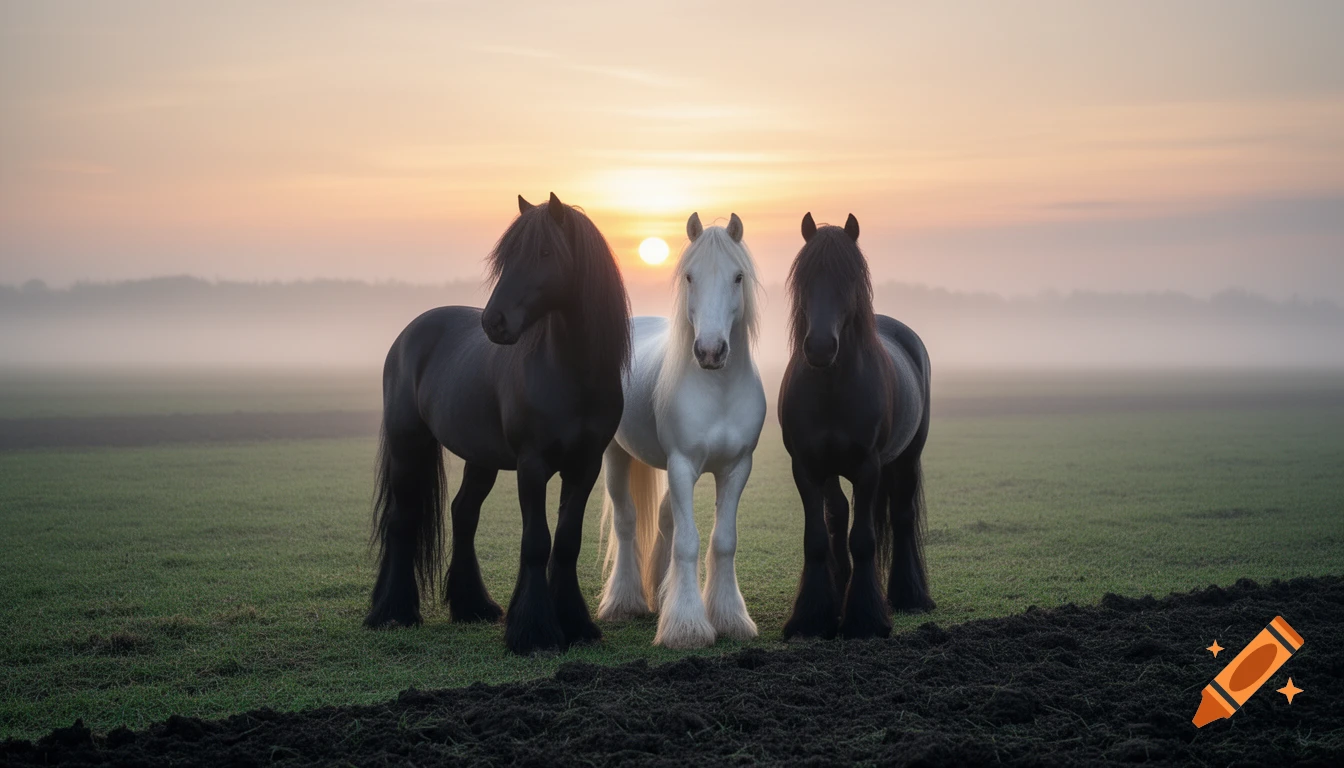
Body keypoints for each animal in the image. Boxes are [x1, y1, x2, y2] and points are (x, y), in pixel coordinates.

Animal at [364, 192, 631, 656]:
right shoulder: (532, 465)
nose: (494, 322)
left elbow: (567, 542)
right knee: (402, 519)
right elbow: (537, 542)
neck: (570, 372)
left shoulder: (585, 467)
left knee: (463, 513)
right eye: (506, 257)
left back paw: (472, 606)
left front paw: (575, 624)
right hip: (407, 445)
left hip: (481, 459)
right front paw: (535, 632)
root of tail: (410, 333)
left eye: (545, 253)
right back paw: (394, 612)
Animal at [597, 212, 765, 648]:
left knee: (664, 521)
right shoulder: (683, 465)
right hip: (616, 456)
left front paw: (729, 618)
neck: (718, 391)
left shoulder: (737, 468)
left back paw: (659, 594)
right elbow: (688, 542)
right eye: (690, 276)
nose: (710, 351)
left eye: (737, 277)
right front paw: (686, 628)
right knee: (627, 520)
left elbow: (723, 541)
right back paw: (624, 602)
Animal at [777, 212, 935, 641]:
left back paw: (909, 596)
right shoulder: (808, 468)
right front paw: (813, 617)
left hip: (906, 459)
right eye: (805, 278)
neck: (832, 388)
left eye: (849, 280)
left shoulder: (868, 468)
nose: (819, 347)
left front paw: (865, 620)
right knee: (839, 516)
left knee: (901, 517)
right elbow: (819, 536)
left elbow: (863, 539)